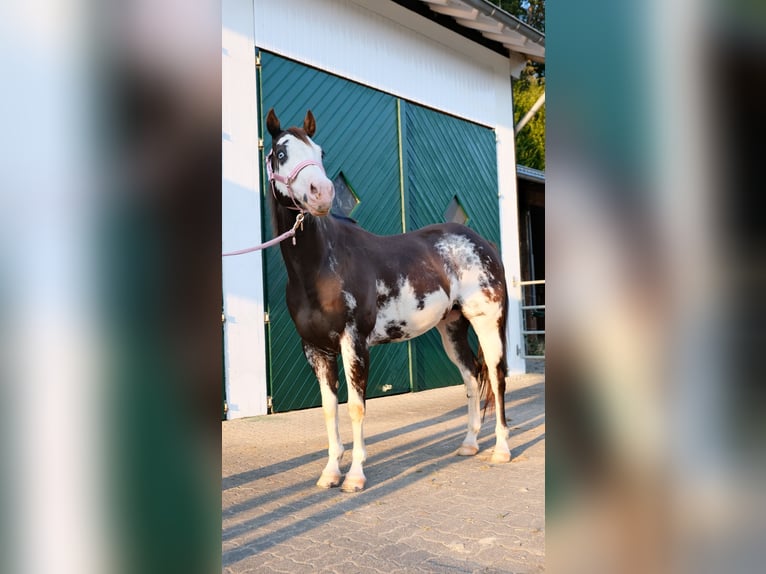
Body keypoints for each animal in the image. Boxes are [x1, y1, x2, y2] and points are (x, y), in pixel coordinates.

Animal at [268, 109, 512, 496]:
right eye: (280, 153)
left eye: (320, 152)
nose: (322, 193)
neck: (320, 267)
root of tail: (481, 242)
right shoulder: (316, 349)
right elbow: (328, 409)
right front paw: (329, 473)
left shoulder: (354, 343)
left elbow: (355, 407)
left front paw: (354, 476)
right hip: (452, 328)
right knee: (472, 378)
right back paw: (469, 444)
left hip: (488, 321)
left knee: (497, 376)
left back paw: (501, 450)